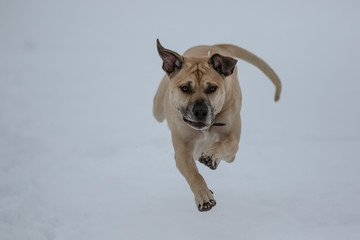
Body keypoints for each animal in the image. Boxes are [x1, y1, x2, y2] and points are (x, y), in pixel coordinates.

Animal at [152, 38, 282, 211]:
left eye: (212, 88)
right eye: (185, 88)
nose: (200, 111)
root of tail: (214, 45)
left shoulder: (233, 143)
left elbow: (224, 143)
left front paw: (211, 155)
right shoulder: (182, 151)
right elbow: (193, 174)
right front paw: (203, 195)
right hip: (158, 110)